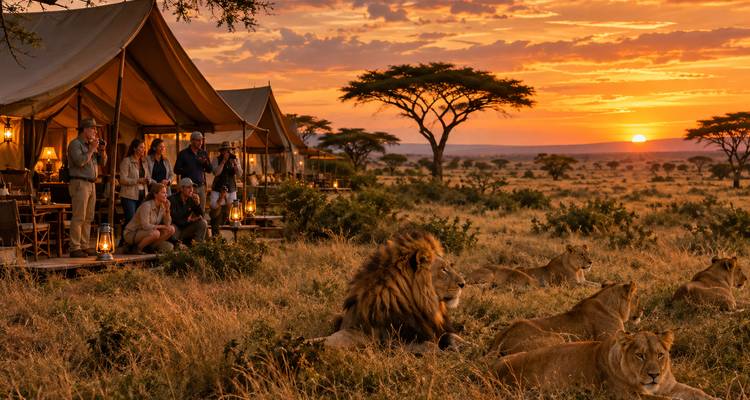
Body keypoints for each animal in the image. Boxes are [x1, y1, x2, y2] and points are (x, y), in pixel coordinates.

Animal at [323, 231, 466, 352]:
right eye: (443, 269)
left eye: (448, 266)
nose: (463, 284)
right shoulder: (393, 342)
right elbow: (429, 345)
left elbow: (453, 336)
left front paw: (468, 347)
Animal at [491, 330, 719, 400]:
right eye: (640, 356)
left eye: (660, 355)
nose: (654, 375)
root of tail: (492, 368)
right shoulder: (626, 396)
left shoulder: (670, 385)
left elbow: (696, 392)